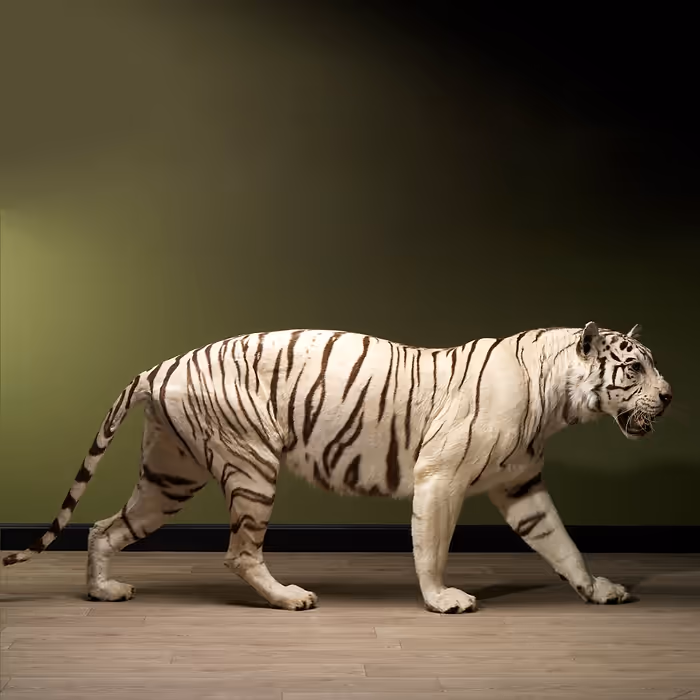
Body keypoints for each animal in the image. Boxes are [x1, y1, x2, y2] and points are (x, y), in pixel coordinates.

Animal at [3, 321, 672, 613]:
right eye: (633, 367)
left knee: (103, 527)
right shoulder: (440, 477)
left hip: (170, 477)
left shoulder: (522, 486)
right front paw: (441, 599)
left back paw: (103, 590)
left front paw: (597, 589)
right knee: (239, 552)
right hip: (251, 466)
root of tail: (160, 363)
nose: (669, 396)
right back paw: (289, 598)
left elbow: (564, 544)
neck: (557, 401)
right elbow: (432, 546)